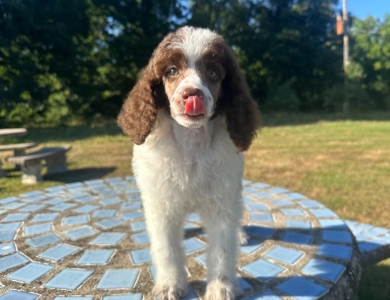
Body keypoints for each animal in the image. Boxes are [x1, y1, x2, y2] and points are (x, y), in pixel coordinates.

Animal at [117, 26, 260, 300]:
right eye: (172, 71)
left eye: (213, 73)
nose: (192, 94)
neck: (191, 142)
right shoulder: (160, 205)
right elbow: (167, 248)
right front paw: (170, 285)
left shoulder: (222, 201)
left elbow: (223, 248)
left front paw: (221, 287)